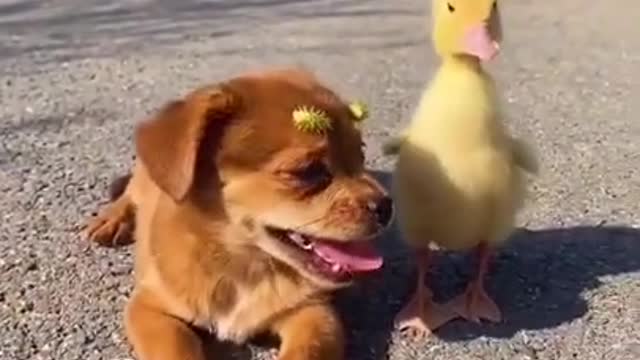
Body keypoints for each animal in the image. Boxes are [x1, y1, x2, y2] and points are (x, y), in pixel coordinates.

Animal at [84, 68, 396, 360]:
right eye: (307, 172)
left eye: (361, 156)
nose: (387, 206)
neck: (244, 267)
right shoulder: (149, 309)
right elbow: (176, 350)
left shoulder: (315, 314)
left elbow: (306, 351)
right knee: (129, 194)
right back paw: (111, 220)